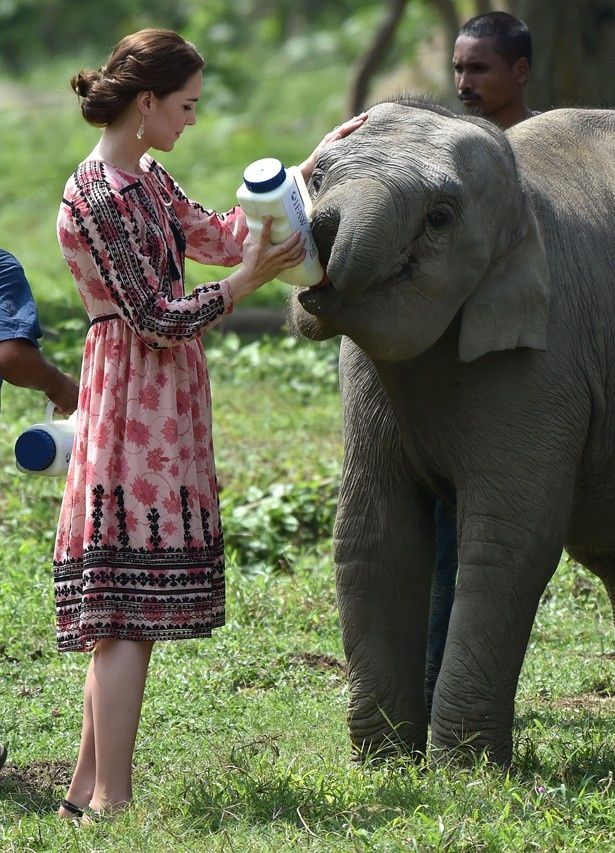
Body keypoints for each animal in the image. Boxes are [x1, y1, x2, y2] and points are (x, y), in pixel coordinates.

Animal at [292, 98, 612, 764]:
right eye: (318, 177)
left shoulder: (546, 361)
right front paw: (385, 763)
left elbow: (508, 543)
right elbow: (373, 533)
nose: (318, 232)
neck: (522, 195)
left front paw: (464, 768)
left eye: (440, 217)